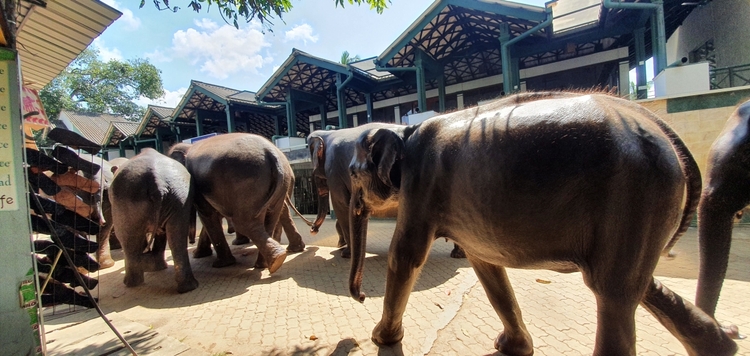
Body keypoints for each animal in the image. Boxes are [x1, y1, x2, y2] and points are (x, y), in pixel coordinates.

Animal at [108, 149, 198, 294]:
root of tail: (158, 183)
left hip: (125, 202)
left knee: (127, 239)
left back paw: (131, 283)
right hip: (180, 197)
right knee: (177, 237)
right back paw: (188, 287)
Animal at [169, 134, 306, 272]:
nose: (191, 242)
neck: (187, 146)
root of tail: (272, 153)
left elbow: (207, 214)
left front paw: (218, 263)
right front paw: (201, 255)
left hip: (245, 183)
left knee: (243, 223)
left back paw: (274, 260)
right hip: (280, 183)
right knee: (271, 217)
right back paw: (271, 261)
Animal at [308, 125, 468, 258]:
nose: (312, 230)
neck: (327, 133)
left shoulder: (334, 172)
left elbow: (341, 207)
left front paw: (345, 254)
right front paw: (342, 248)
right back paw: (458, 254)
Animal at [350, 92, 736, 356]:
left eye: (354, 174)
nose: (362, 296)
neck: (406, 130)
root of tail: (662, 129)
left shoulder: (421, 184)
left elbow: (405, 256)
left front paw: (381, 339)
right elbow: (487, 267)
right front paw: (511, 347)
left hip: (635, 194)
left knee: (612, 292)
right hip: (646, 207)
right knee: (638, 285)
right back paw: (721, 345)